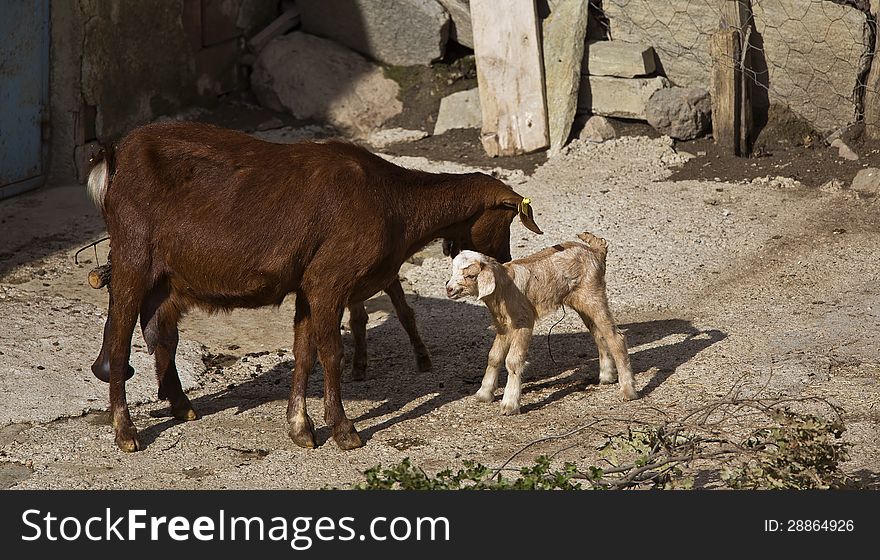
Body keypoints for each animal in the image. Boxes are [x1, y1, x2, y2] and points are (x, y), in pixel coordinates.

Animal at [89, 121, 544, 450]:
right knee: (119, 342)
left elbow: (304, 354)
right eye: (505, 218)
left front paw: (301, 428)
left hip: (165, 278)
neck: (393, 201)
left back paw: (182, 407)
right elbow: (331, 354)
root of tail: (115, 155)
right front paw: (344, 430)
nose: (504, 261)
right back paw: (126, 433)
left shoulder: (308, 286)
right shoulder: (329, 281)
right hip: (132, 259)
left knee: (160, 336)